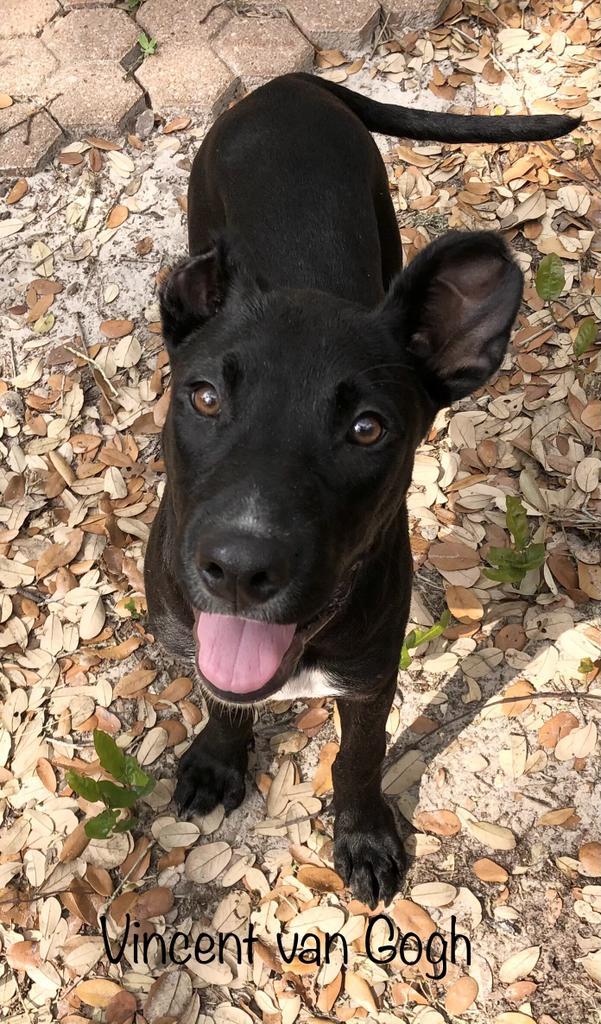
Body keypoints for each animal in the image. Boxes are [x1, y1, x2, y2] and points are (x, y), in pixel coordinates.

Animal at [144, 70, 577, 905]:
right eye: (204, 396)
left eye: (367, 429)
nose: (239, 569)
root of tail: (286, 82)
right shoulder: (193, 638)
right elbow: (220, 702)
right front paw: (217, 761)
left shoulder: (373, 675)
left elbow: (359, 756)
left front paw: (365, 835)